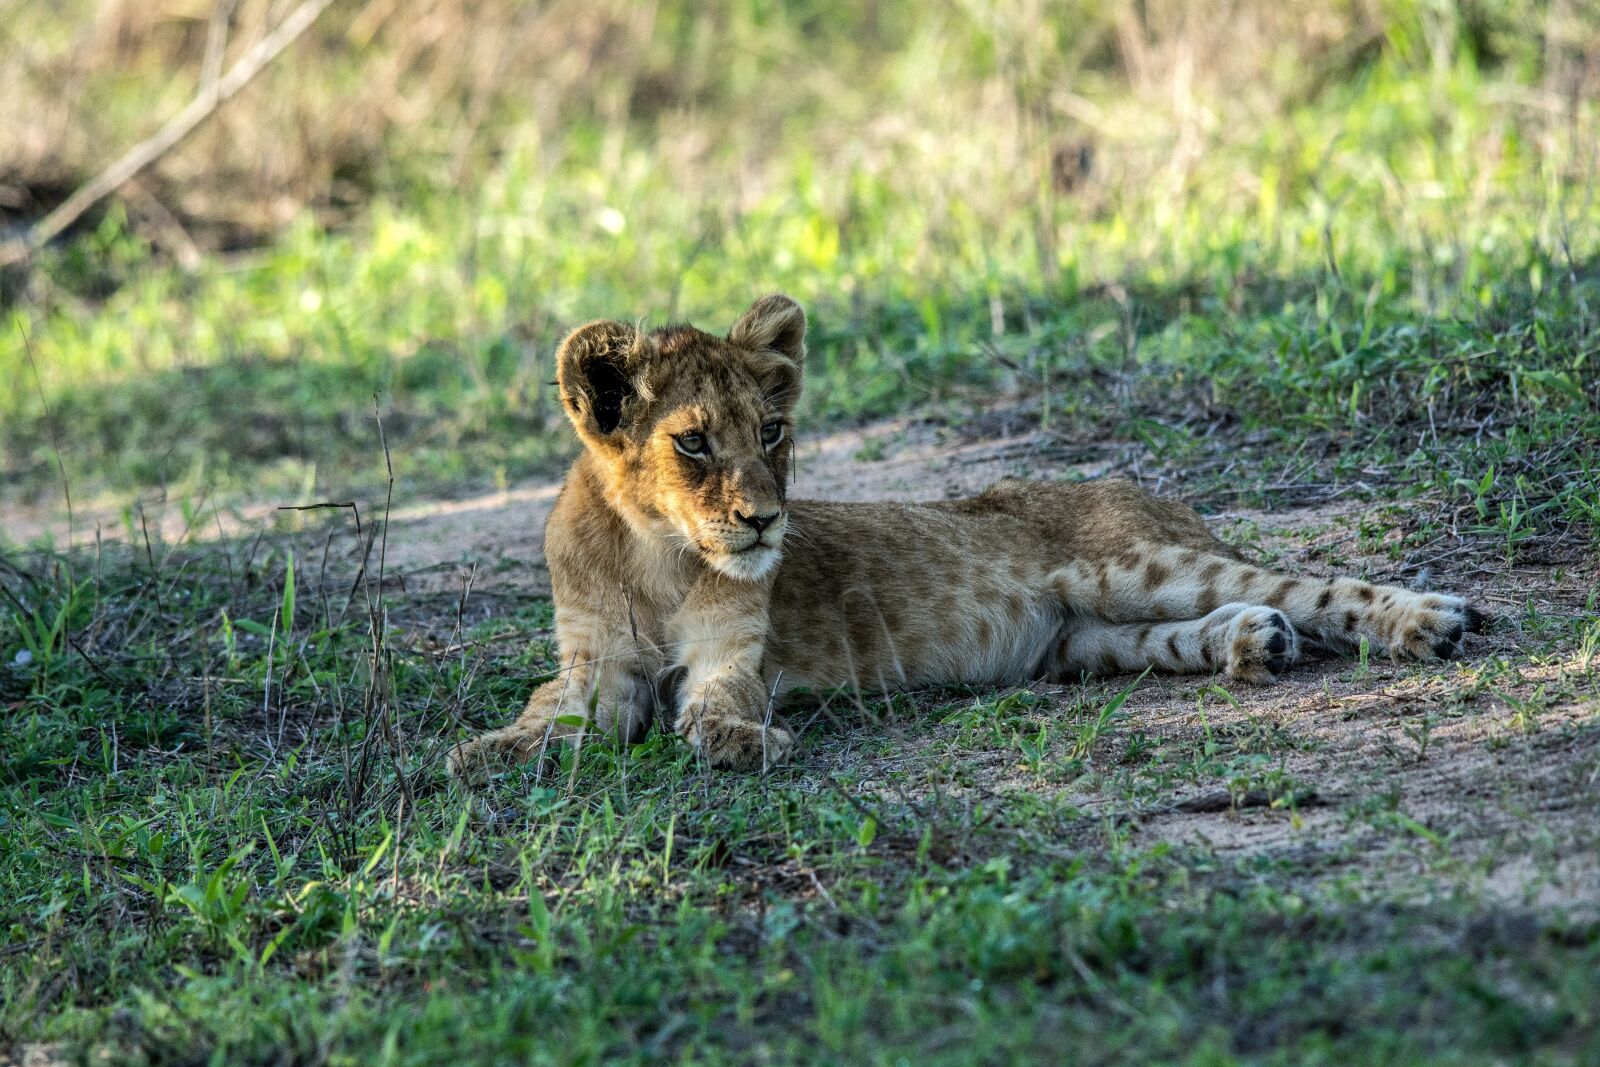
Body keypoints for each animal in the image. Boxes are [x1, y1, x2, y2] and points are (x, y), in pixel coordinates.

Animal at [447, 294, 1483, 778]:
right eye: (694, 441)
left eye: (772, 431)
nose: (765, 519)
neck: (660, 553)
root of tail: (1156, 494)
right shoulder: (596, 663)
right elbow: (552, 712)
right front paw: (483, 752)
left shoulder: (729, 656)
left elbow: (707, 714)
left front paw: (746, 742)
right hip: (1087, 638)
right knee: (1204, 626)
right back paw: (1252, 643)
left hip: (1136, 564)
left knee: (1303, 585)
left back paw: (1428, 620)